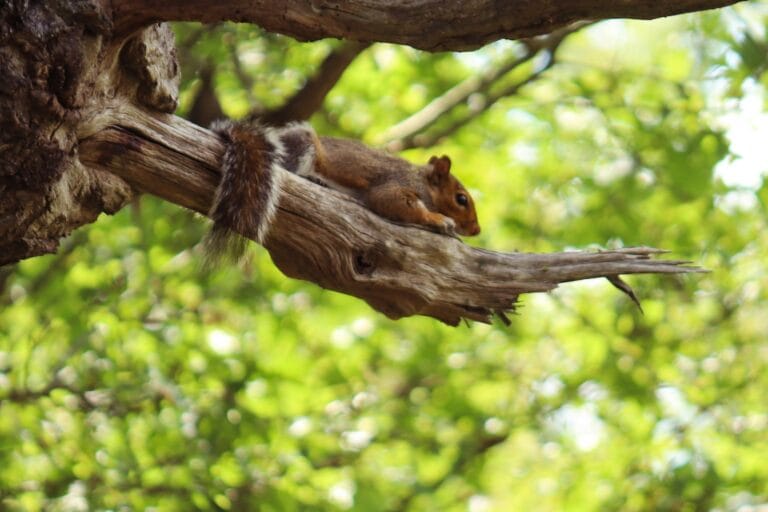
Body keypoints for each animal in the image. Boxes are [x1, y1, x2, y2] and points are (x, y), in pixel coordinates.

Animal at [205, 120, 480, 261]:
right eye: (461, 199)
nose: (476, 230)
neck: (422, 182)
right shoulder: (395, 185)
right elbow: (393, 203)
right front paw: (439, 219)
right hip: (301, 147)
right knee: (288, 169)